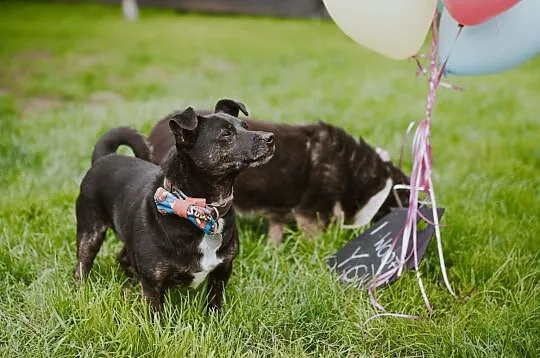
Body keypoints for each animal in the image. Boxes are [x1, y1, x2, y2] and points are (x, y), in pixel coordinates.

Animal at [74, 98, 274, 310]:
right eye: (226, 133)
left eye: (246, 126)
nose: (270, 137)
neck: (199, 210)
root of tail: (105, 157)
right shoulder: (153, 284)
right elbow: (155, 314)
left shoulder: (222, 272)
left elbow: (214, 302)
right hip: (90, 233)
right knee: (81, 266)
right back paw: (81, 293)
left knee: (123, 257)